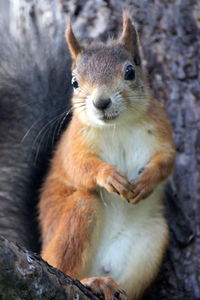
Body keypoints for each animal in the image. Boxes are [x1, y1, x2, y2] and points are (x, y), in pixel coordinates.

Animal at [38, 11, 176, 300]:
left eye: (130, 71)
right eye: (74, 82)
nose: (101, 102)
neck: (118, 126)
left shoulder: (161, 131)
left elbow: (167, 161)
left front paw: (146, 181)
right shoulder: (74, 142)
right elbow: (78, 166)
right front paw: (109, 176)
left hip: (152, 239)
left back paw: (109, 285)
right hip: (77, 215)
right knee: (65, 267)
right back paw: (92, 281)